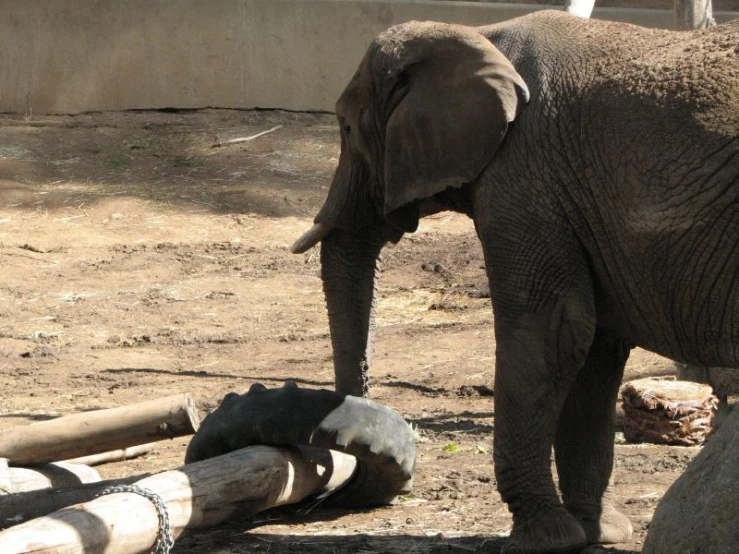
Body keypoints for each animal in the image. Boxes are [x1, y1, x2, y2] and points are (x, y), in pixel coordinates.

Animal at [290, 10, 739, 552]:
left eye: (346, 125)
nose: (343, 482)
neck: (479, 33)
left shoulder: (525, 179)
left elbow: (552, 334)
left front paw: (540, 540)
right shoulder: (569, 200)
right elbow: (594, 347)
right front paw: (595, 533)